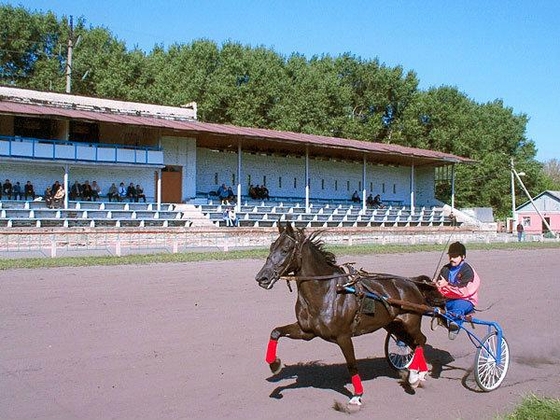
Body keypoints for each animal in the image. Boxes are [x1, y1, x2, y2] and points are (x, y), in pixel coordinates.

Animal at [256, 223, 440, 406]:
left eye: (285, 250)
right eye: (271, 247)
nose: (261, 277)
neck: (327, 292)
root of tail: (411, 282)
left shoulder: (343, 336)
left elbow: (351, 364)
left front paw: (357, 395)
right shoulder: (306, 331)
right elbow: (276, 332)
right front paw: (274, 365)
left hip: (411, 321)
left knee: (420, 340)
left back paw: (418, 374)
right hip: (394, 324)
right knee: (412, 343)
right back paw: (415, 373)